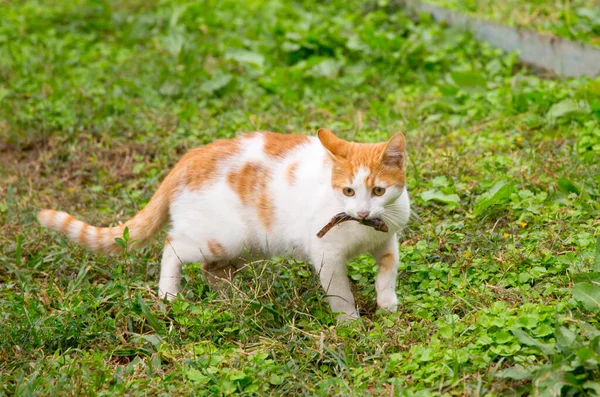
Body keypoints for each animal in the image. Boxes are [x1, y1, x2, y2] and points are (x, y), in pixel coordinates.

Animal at [38, 128, 412, 320]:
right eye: (348, 190)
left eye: (378, 191)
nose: (362, 212)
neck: (363, 232)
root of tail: (190, 157)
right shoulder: (327, 256)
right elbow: (341, 294)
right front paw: (350, 324)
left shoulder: (387, 239)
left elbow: (389, 268)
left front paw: (387, 302)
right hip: (221, 238)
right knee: (172, 246)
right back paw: (169, 294)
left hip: (246, 246)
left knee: (213, 270)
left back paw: (235, 300)